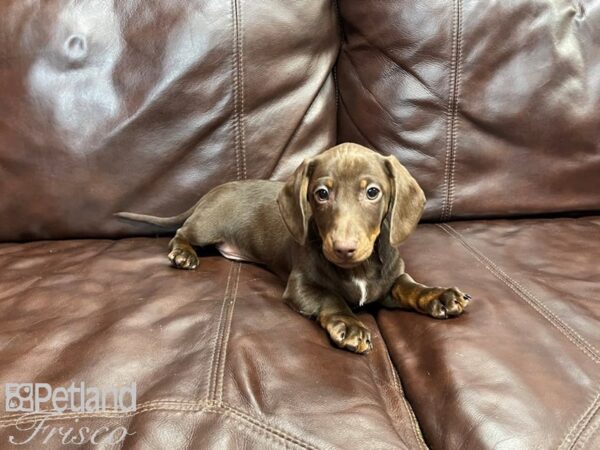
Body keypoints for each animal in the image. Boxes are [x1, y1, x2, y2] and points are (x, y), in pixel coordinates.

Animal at [117, 142, 472, 354]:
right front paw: (350, 325)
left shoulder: (391, 280)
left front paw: (440, 295)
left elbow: (411, 287)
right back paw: (183, 254)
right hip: (206, 226)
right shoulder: (301, 285)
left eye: (373, 192)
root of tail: (212, 191)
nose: (343, 248)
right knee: (182, 232)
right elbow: (331, 297)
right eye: (321, 193)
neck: (357, 268)